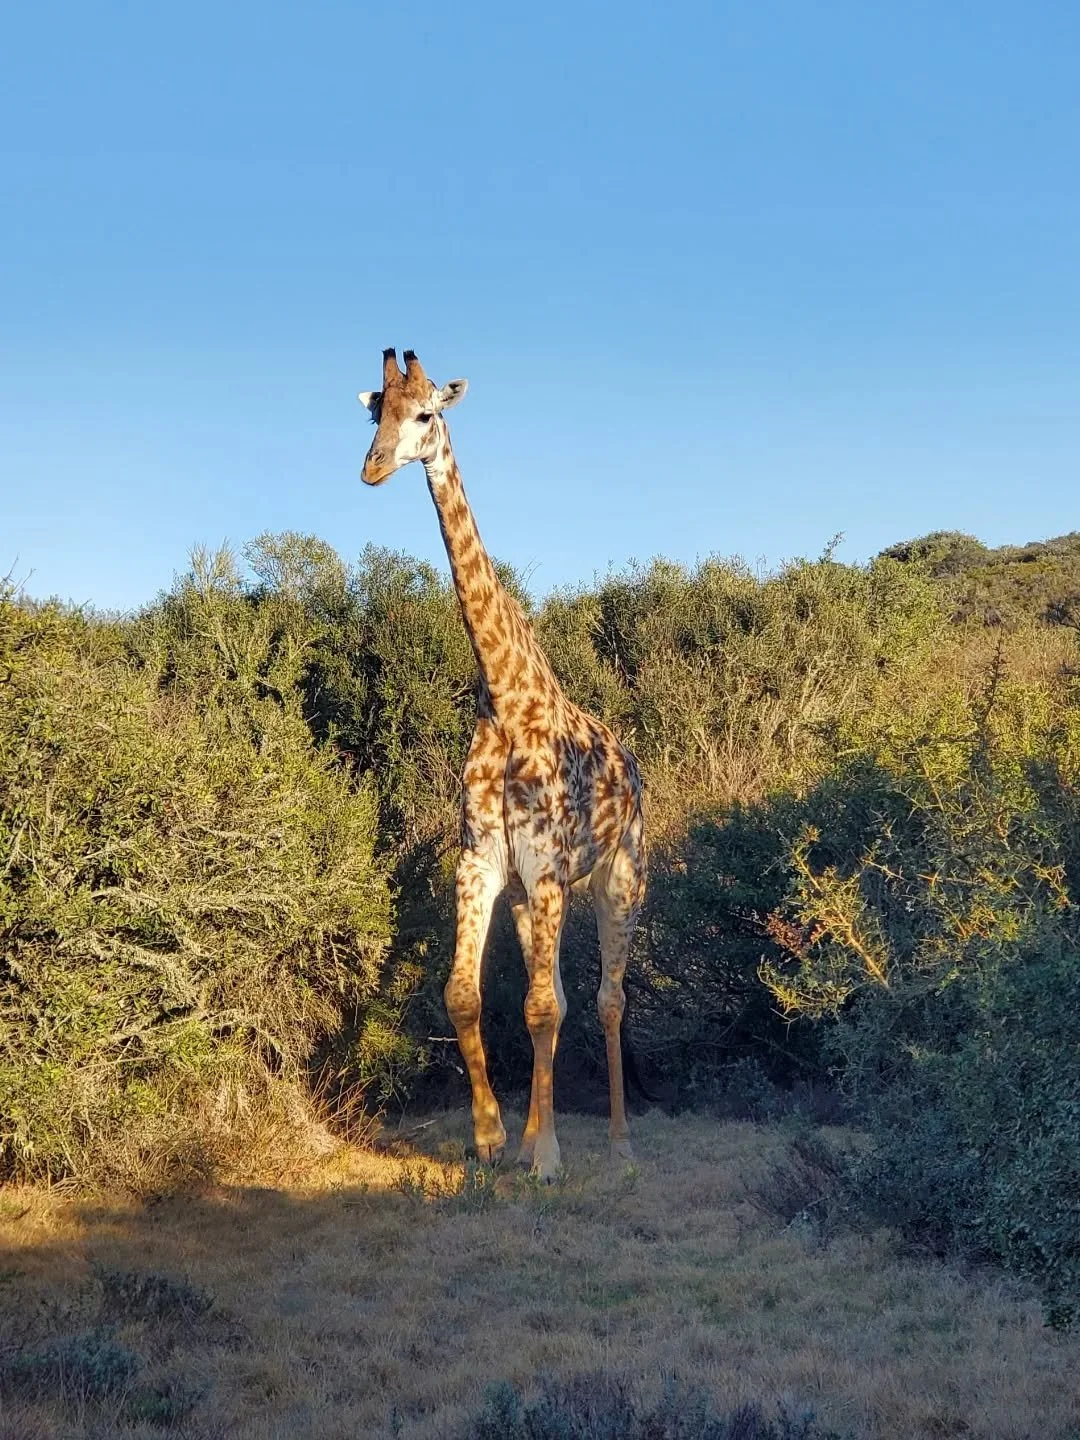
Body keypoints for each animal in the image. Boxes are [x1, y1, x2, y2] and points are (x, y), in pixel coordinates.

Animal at [358, 348, 646, 1181]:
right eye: (376, 412)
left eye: (426, 413)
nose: (373, 467)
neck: (506, 697)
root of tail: (636, 770)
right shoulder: (483, 862)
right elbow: (468, 994)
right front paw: (493, 1139)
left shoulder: (549, 867)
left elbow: (543, 1006)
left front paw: (545, 1156)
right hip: (526, 895)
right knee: (559, 995)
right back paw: (529, 1138)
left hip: (621, 876)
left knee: (608, 1000)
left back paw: (618, 1145)